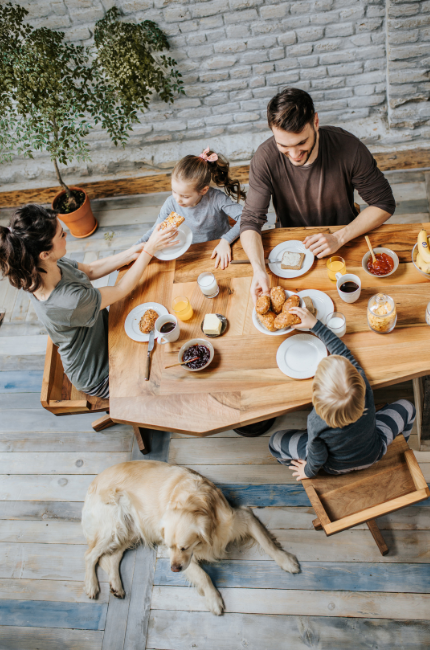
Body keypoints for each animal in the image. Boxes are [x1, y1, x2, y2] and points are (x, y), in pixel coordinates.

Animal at [82, 456, 300, 612]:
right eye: (170, 547)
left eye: (184, 547)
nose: (173, 569)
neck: (192, 501)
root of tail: (94, 480)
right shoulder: (182, 556)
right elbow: (203, 575)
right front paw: (214, 600)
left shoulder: (240, 518)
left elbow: (267, 542)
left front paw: (287, 561)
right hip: (114, 527)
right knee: (90, 555)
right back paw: (91, 586)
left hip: (129, 531)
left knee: (112, 557)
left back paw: (116, 586)